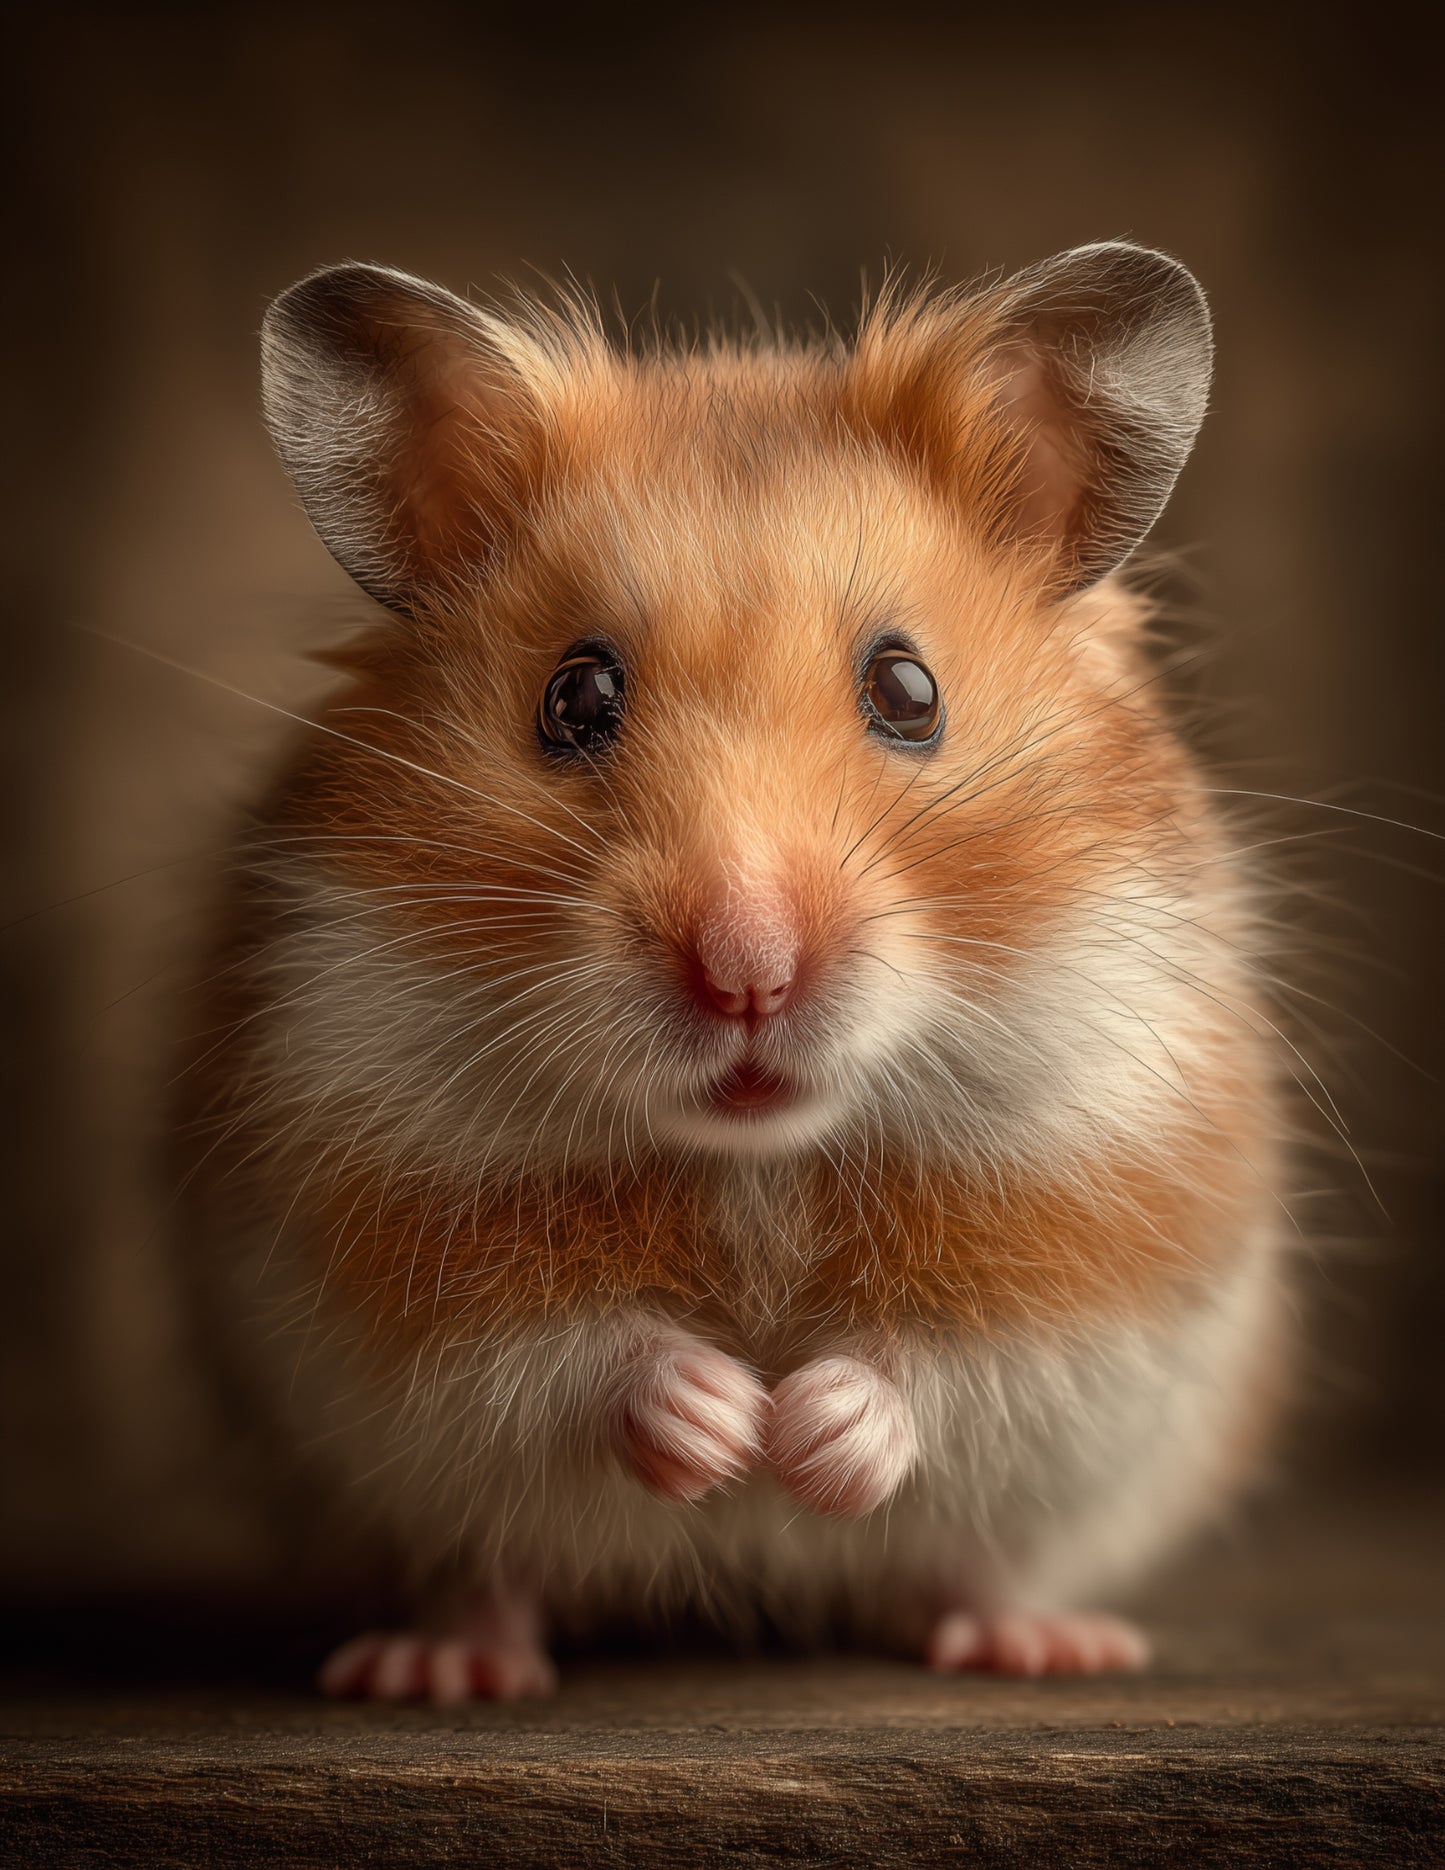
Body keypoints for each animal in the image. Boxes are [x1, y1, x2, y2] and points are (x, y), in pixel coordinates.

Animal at [186, 242, 1287, 1701]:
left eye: (909, 690)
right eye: (574, 698)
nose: (746, 972)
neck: (754, 1162)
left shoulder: (1108, 1241)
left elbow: (953, 1364)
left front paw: (805, 1434)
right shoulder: (371, 1241)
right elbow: (556, 1354)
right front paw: (722, 1424)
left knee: (984, 1557)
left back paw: (1047, 1646)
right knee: (482, 1568)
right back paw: (439, 1668)